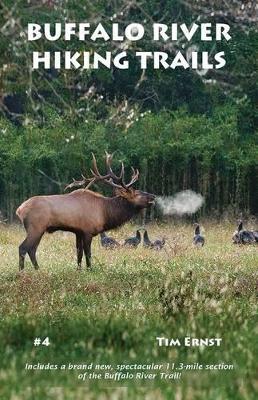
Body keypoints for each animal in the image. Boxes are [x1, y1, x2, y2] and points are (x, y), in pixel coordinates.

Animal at [17, 152, 156, 270]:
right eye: (137, 193)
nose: (153, 196)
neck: (105, 212)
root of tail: (19, 210)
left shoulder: (78, 232)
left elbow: (79, 253)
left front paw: (79, 269)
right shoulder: (88, 231)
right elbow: (88, 253)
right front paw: (90, 269)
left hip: (38, 230)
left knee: (32, 249)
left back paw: (37, 269)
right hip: (36, 228)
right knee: (23, 248)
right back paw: (22, 271)